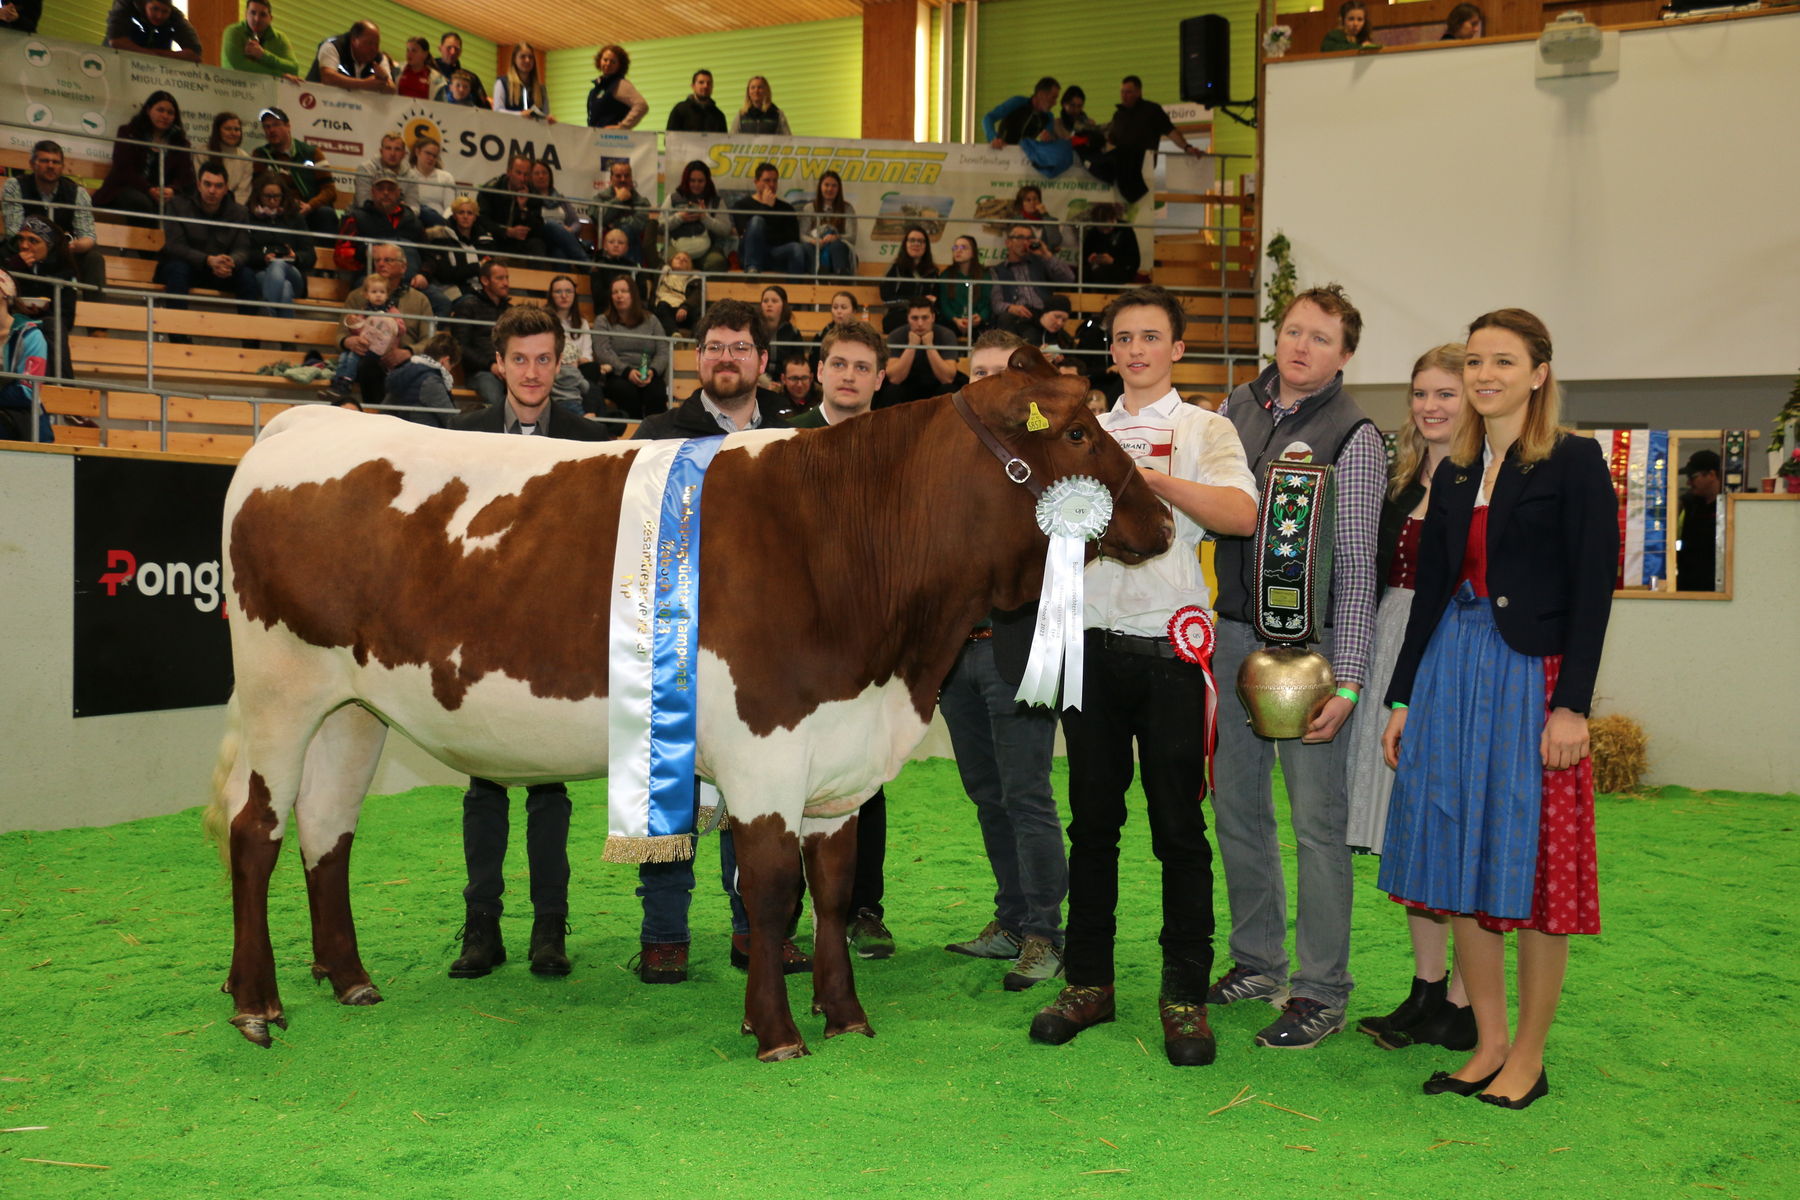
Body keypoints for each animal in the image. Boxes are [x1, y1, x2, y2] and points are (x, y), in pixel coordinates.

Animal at [210, 354, 1173, 1057]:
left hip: (351, 710)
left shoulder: (838, 755)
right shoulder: (766, 745)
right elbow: (775, 888)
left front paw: (844, 1014)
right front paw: (778, 1032)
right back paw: (257, 1005)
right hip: (280, 689)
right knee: (257, 831)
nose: (1165, 522)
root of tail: (310, 420)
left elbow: (830, 892)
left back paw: (348, 979)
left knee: (327, 830)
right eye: (1080, 430)